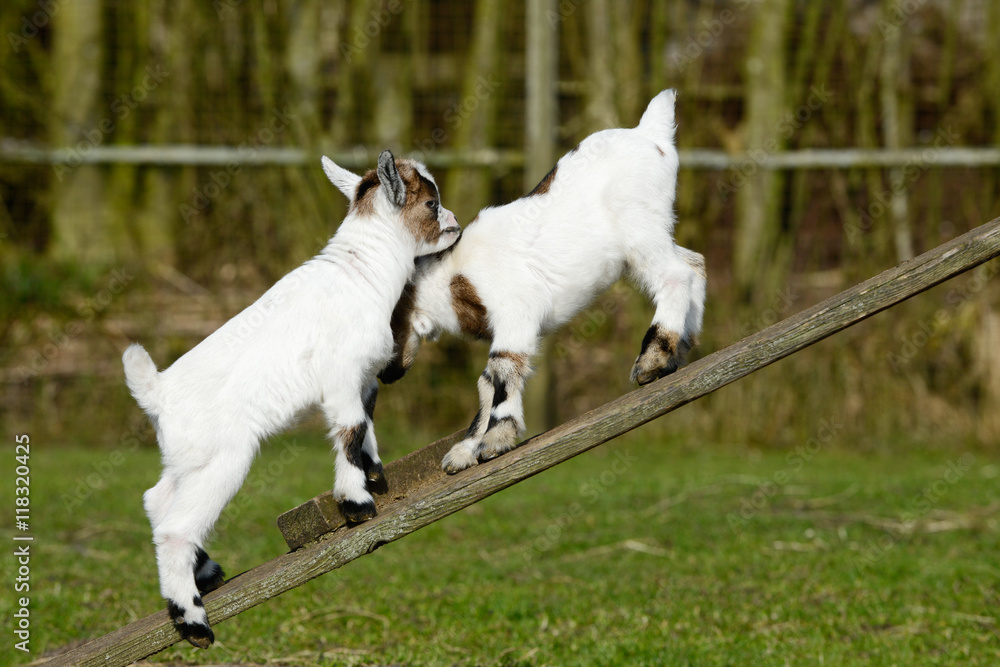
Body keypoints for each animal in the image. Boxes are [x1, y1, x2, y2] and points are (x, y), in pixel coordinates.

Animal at [122, 151, 460, 648]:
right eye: (431, 203)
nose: (454, 222)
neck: (361, 271)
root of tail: (157, 391)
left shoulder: (361, 379)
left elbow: (364, 422)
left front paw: (374, 475)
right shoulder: (341, 375)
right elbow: (350, 427)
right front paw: (356, 504)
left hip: (188, 458)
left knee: (156, 498)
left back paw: (207, 573)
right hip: (224, 458)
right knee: (175, 528)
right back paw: (193, 620)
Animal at [377, 89, 706, 473]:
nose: (384, 375)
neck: (451, 277)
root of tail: (649, 133)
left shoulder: (515, 315)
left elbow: (500, 369)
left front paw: (494, 440)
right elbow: (487, 380)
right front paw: (466, 450)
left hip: (640, 228)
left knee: (676, 274)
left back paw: (652, 359)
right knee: (695, 263)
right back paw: (680, 348)